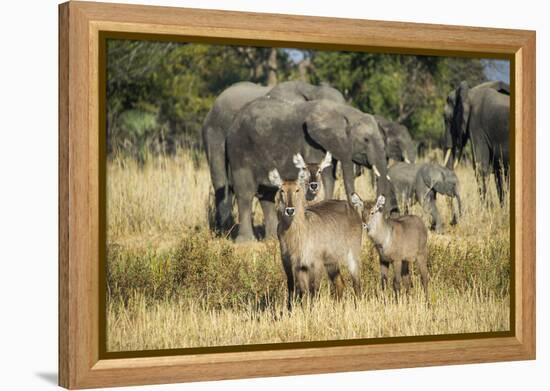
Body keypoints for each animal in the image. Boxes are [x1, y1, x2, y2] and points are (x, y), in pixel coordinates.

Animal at [229, 97, 396, 242]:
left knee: (266, 195)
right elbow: (327, 178)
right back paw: (245, 241)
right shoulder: (313, 144)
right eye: (366, 140)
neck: (344, 112)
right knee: (245, 193)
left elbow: (329, 177)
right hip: (240, 150)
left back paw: (271, 238)